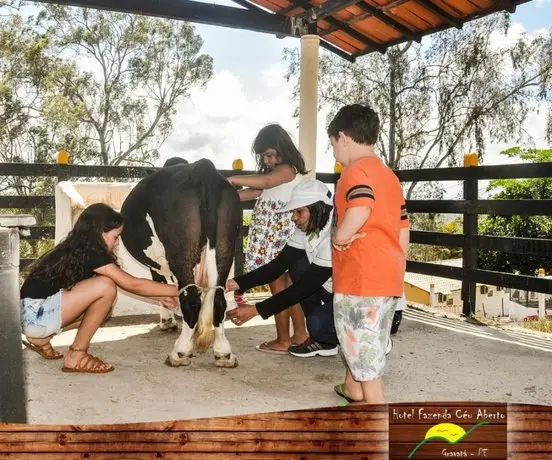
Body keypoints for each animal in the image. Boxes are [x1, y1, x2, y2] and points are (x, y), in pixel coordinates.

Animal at [119, 157, 240, 366]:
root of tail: (203, 169)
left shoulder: (158, 264)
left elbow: (161, 285)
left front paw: (168, 321)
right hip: (225, 247)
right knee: (218, 299)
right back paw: (223, 353)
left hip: (180, 252)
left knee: (191, 300)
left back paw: (180, 352)